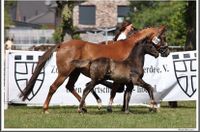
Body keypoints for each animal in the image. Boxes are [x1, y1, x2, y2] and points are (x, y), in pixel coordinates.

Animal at [19, 25, 169, 113]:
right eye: (162, 37)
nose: (166, 52)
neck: (130, 49)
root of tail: (61, 44)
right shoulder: (119, 78)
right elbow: (116, 90)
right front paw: (111, 107)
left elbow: (123, 91)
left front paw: (121, 108)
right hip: (64, 73)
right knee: (53, 87)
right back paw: (46, 109)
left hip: (74, 73)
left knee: (70, 86)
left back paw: (84, 106)